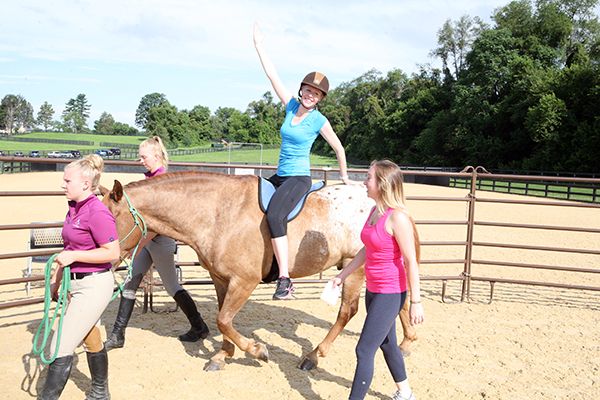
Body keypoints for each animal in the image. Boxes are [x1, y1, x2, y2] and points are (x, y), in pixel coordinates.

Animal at [99, 170, 418, 370]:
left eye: (107, 221)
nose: (104, 264)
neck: (217, 212)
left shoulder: (245, 280)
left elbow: (224, 320)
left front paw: (256, 350)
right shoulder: (220, 278)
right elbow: (222, 317)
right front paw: (223, 355)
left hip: (356, 268)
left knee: (347, 312)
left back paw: (314, 355)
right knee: (400, 301)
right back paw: (406, 343)